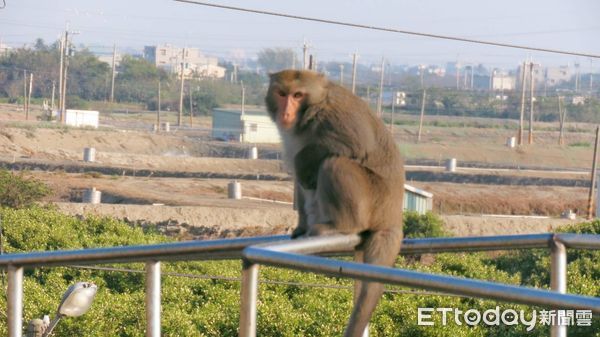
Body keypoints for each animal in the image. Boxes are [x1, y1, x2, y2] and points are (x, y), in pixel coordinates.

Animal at [266, 69, 404, 334]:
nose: (286, 113)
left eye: (298, 95)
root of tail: (394, 216)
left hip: (373, 200)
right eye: (281, 94)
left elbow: (356, 143)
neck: (311, 112)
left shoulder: (336, 114)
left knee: (335, 163)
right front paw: (300, 227)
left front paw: (303, 162)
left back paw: (342, 225)